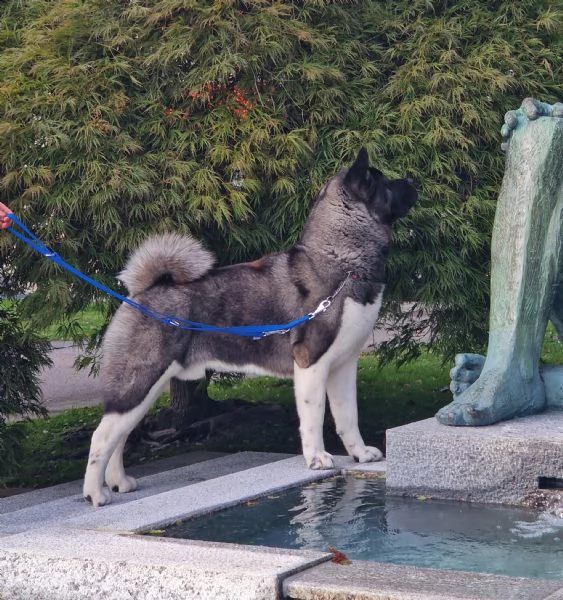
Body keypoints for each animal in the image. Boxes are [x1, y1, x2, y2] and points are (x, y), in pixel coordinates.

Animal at [83, 148, 418, 504]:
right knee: (102, 438)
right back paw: (95, 494)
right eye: (383, 182)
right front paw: (316, 458)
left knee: (119, 436)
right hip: (140, 381)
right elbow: (314, 416)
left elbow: (347, 417)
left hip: (146, 387)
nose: (413, 181)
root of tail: (143, 292)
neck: (341, 263)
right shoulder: (311, 363)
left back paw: (118, 482)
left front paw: (359, 453)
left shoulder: (343, 366)